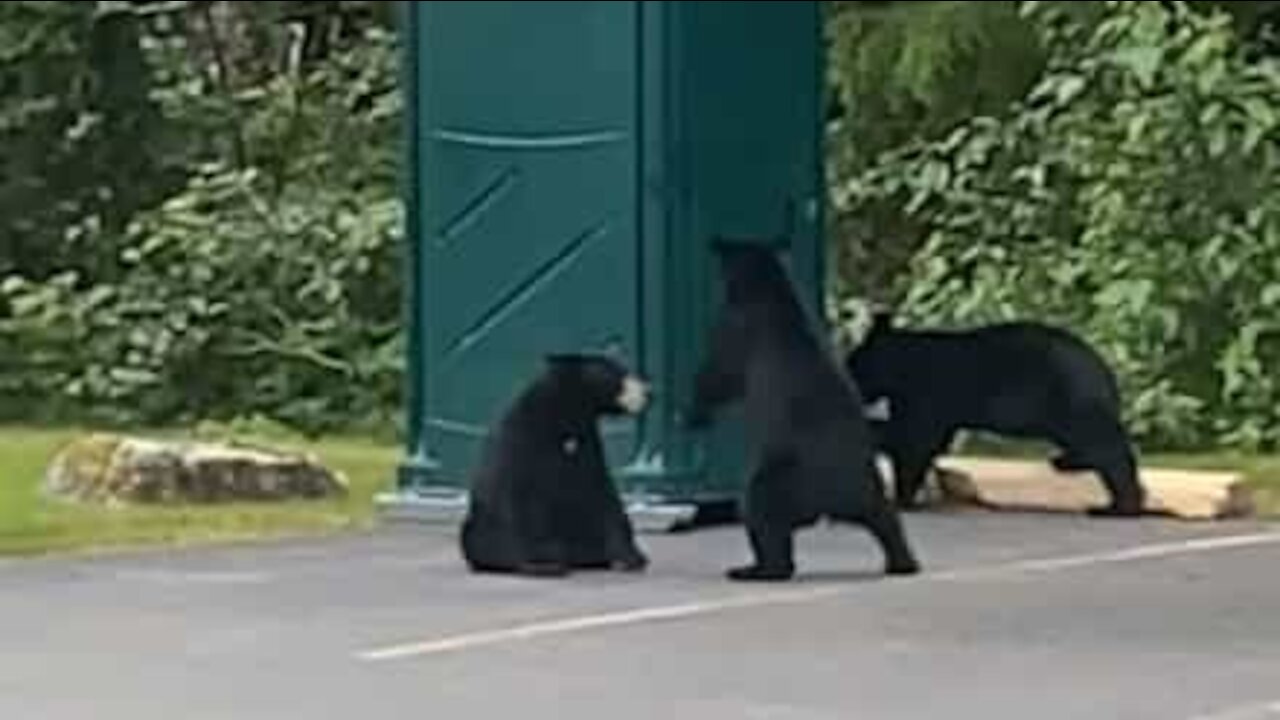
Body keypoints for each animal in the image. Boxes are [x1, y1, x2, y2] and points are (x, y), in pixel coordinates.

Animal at [460, 353, 655, 576]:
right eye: (618, 374)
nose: (649, 393)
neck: (564, 411)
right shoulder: (523, 440)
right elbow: (524, 495)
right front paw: (543, 561)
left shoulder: (586, 442)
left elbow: (601, 492)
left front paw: (631, 557)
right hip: (483, 524)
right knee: (478, 536)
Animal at [691, 238, 921, 579]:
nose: (717, 248)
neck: (770, 294)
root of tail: (832, 500)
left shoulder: (738, 327)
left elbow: (718, 375)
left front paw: (694, 410)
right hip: (866, 485)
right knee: (885, 517)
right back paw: (903, 562)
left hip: (788, 475)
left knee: (760, 506)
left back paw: (757, 569)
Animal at [844, 310, 1146, 515]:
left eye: (853, 363)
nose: (848, 379)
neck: (902, 365)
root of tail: (1103, 368)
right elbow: (917, 438)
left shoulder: (928, 395)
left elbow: (915, 440)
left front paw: (902, 499)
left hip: (1068, 398)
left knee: (1103, 443)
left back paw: (1117, 505)